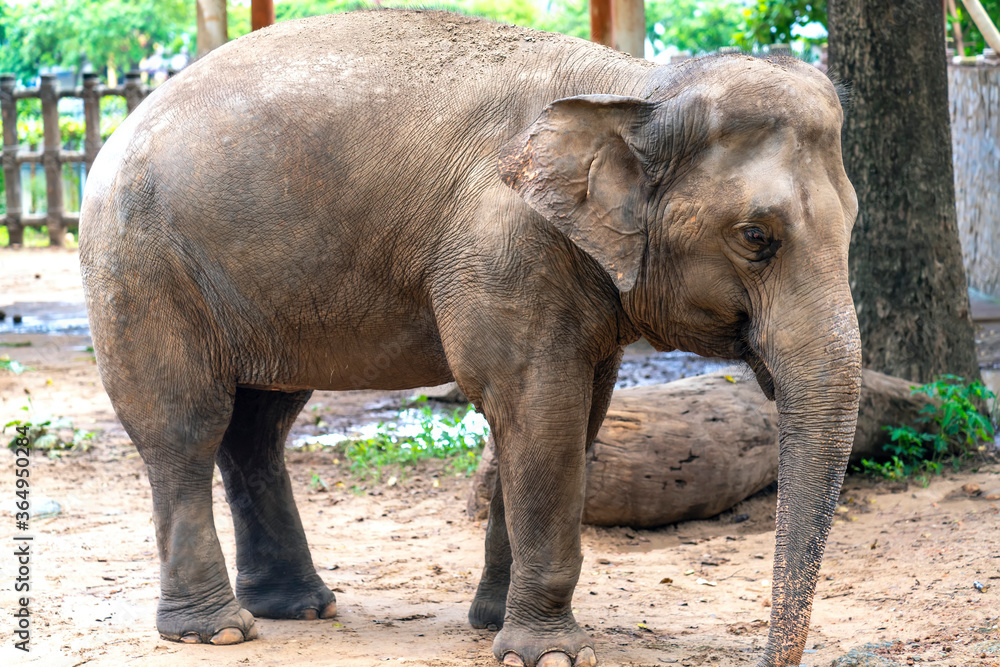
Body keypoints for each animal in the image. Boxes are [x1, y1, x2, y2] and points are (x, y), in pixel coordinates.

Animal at [79, 9, 861, 667]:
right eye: (756, 237)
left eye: (853, 222)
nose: (766, 657)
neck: (639, 90)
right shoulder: (503, 244)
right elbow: (538, 412)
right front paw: (550, 655)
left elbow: (576, 417)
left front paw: (493, 625)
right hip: (142, 268)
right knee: (186, 427)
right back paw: (217, 630)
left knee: (259, 424)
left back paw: (298, 607)